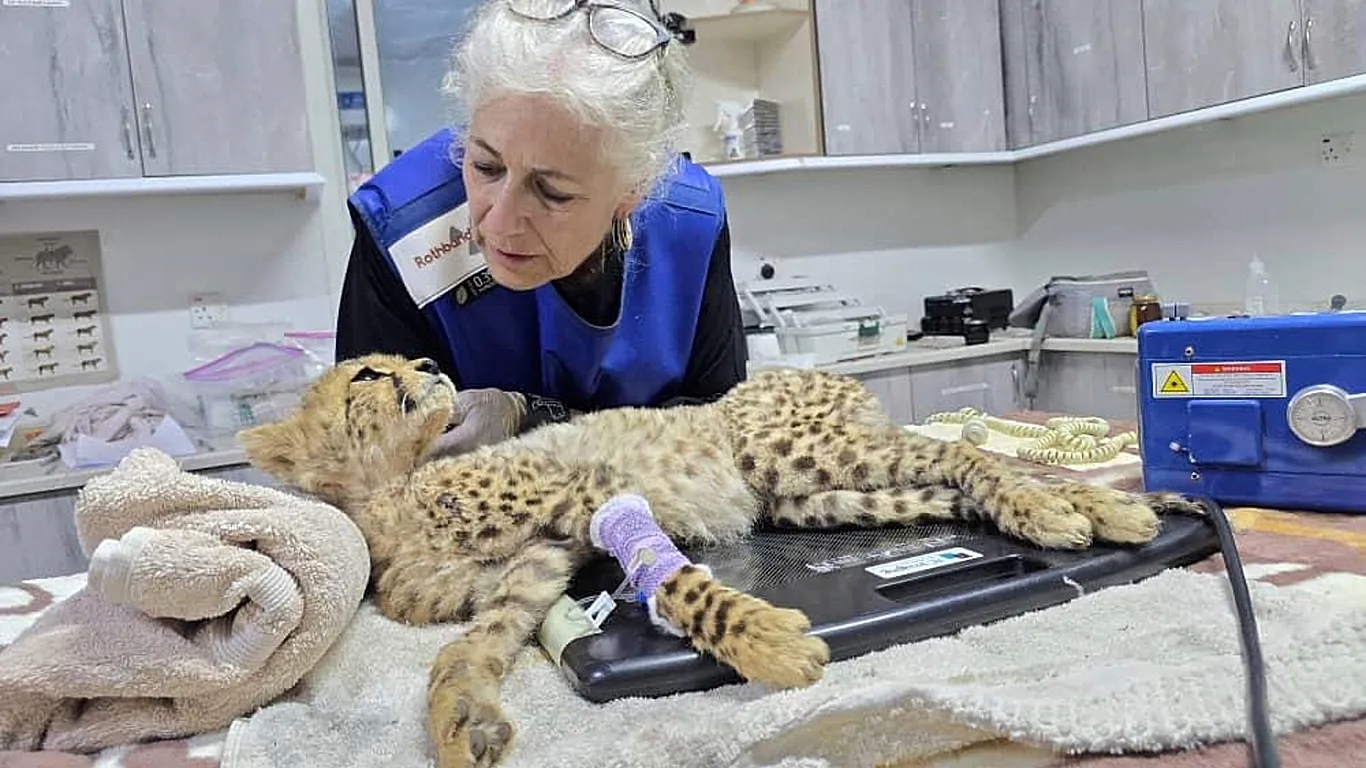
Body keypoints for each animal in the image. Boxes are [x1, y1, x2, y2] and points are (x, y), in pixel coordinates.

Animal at [237, 353, 1203, 768]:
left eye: (391, 366)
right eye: (367, 375)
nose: (431, 363)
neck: (396, 490)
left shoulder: (595, 496)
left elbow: (676, 581)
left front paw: (771, 645)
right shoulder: (535, 570)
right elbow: (460, 655)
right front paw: (460, 725)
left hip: (794, 450)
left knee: (974, 457)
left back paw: (1089, 504)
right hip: (813, 495)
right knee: (952, 483)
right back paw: (1124, 506)